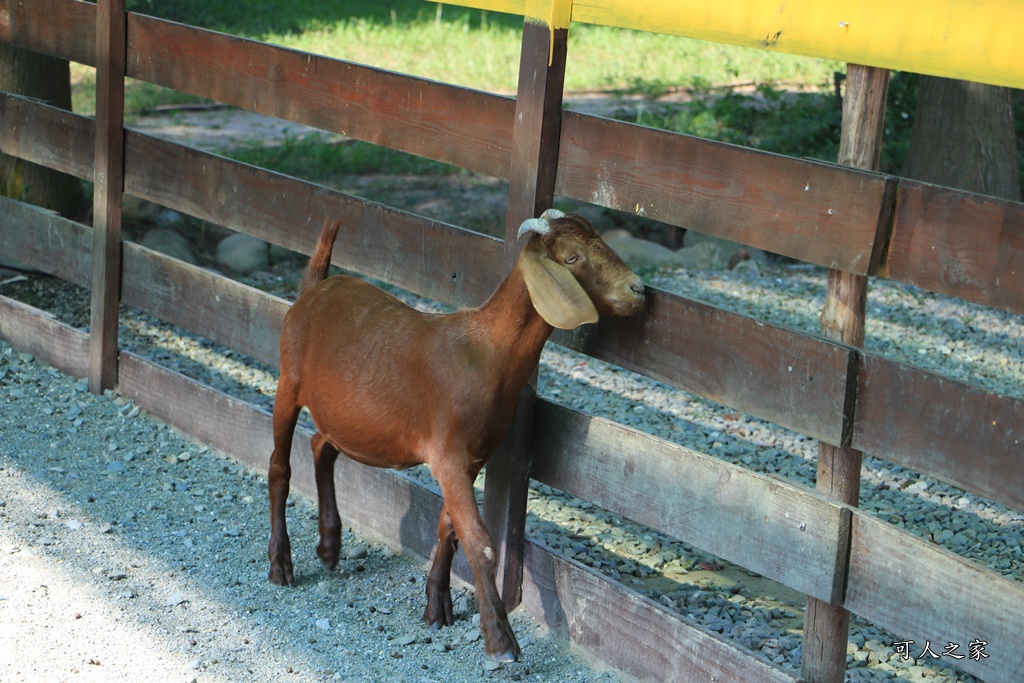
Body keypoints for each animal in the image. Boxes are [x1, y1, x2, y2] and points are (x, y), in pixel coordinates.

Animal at [268, 211, 643, 663]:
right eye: (572, 258)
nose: (638, 290)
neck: (487, 355)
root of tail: (314, 286)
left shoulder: (473, 457)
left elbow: (449, 529)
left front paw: (437, 607)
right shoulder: (448, 455)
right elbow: (480, 541)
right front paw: (500, 640)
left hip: (341, 415)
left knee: (321, 446)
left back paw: (328, 547)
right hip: (288, 382)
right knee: (279, 469)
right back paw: (280, 566)